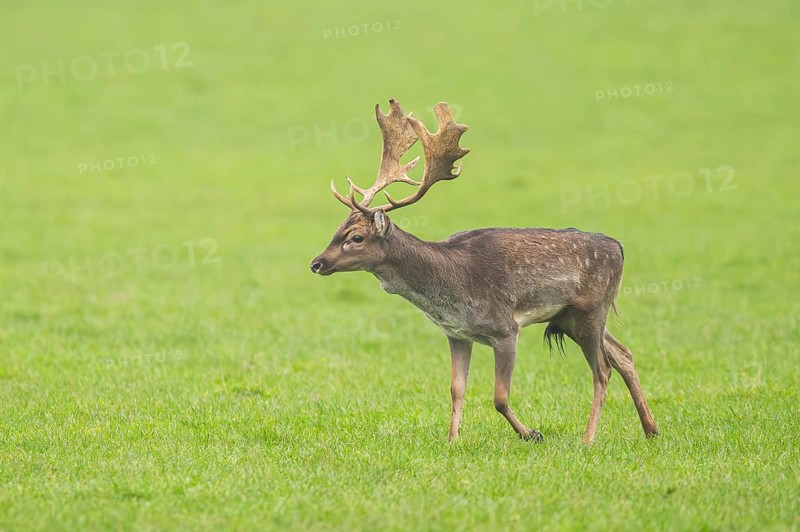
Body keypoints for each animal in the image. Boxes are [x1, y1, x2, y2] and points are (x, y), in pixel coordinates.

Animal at [310, 99, 659, 444]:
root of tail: (618, 247)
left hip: (592, 310)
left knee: (603, 370)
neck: (450, 290)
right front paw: (453, 439)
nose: (316, 263)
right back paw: (651, 428)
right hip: (571, 317)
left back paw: (588, 439)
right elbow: (456, 389)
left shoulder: (505, 329)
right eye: (337, 230)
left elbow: (499, 397)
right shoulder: (456, 334)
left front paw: (532, 433)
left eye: (356, 237)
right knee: (624, 355)